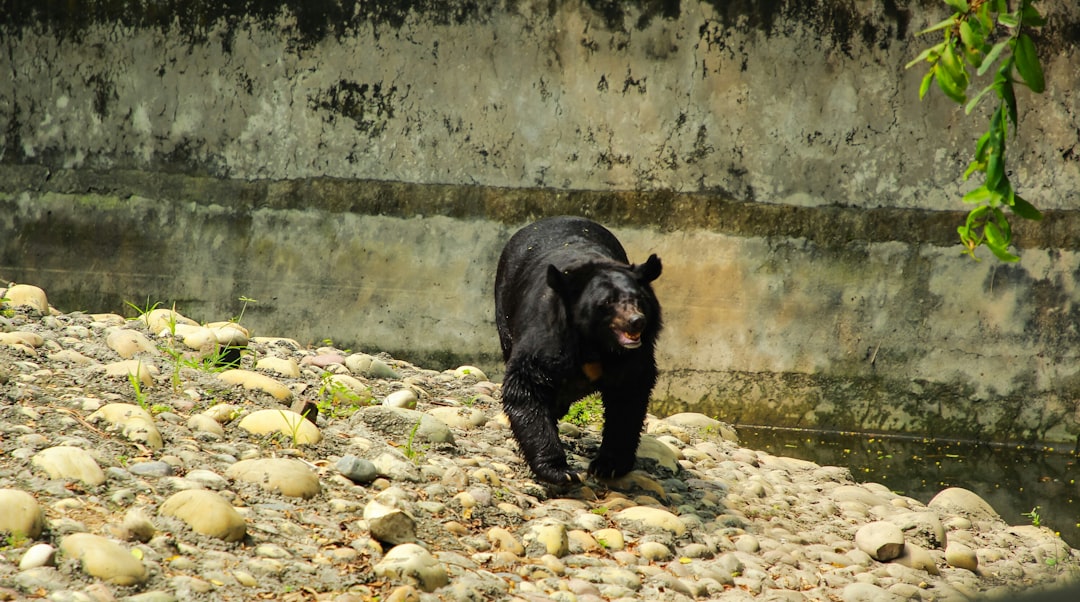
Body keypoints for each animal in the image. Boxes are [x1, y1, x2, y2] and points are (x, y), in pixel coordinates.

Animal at [494, 216, 662, 484]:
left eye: (639, 299)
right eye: (607, 302)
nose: (636, 321)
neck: (596, 344)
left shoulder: (634, 356)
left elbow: (629, 396)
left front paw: (608, 465)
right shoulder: (548, 336)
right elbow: (525, 385)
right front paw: (559, 471)